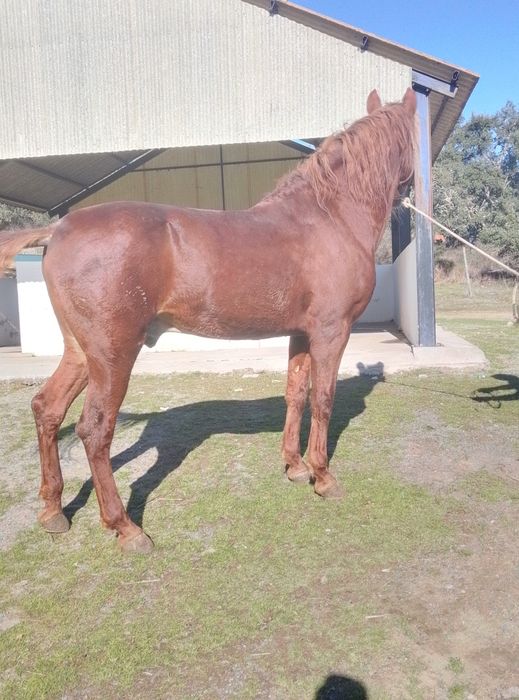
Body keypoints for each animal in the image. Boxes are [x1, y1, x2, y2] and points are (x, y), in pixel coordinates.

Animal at [0, 88, 416, 553]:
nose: (410, 192)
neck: (330, 216)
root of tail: (58, 229)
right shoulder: (331, 331)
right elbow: (324, 399)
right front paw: (323, 477)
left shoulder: (301, 335)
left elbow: (296, 394)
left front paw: (294, 466)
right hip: (113, 354)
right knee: (94, 430)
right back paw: (126, 527)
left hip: (80, 352)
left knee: (47, 409)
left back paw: (53, 510)